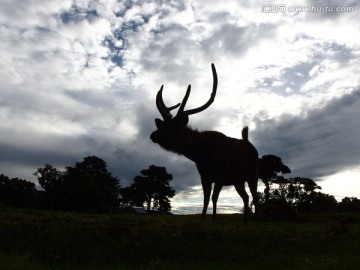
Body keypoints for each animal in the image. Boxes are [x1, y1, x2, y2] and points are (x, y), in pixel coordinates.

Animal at [150, 63, 258, 221]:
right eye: (162, 125)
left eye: (172, 127)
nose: (153, 135)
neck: (203, 157)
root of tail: (249, 143)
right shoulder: (204, 176)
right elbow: (206, 199)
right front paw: (202, 219)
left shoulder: (221, 174)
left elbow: (214, 198)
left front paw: (213, 220)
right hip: (238, 180)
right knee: (246, 197)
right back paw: (245, 221)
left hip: (253, 174)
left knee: (255, 196)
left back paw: (257, 219)